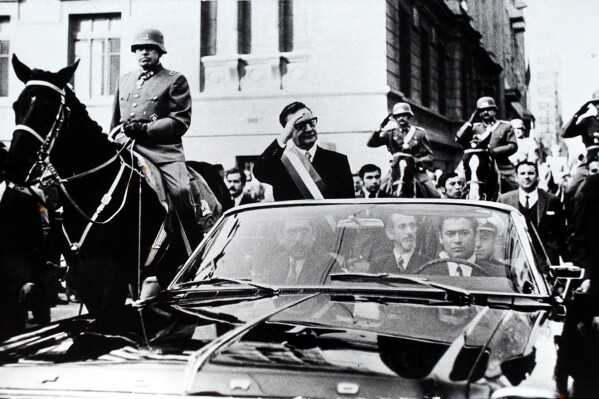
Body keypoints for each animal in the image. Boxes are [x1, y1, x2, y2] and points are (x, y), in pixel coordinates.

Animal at [3, 54, 219, 326]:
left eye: (47, 107)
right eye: (16, 106)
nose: (14, 165)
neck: (92, 190)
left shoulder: (114, 281)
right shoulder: (84, 280)